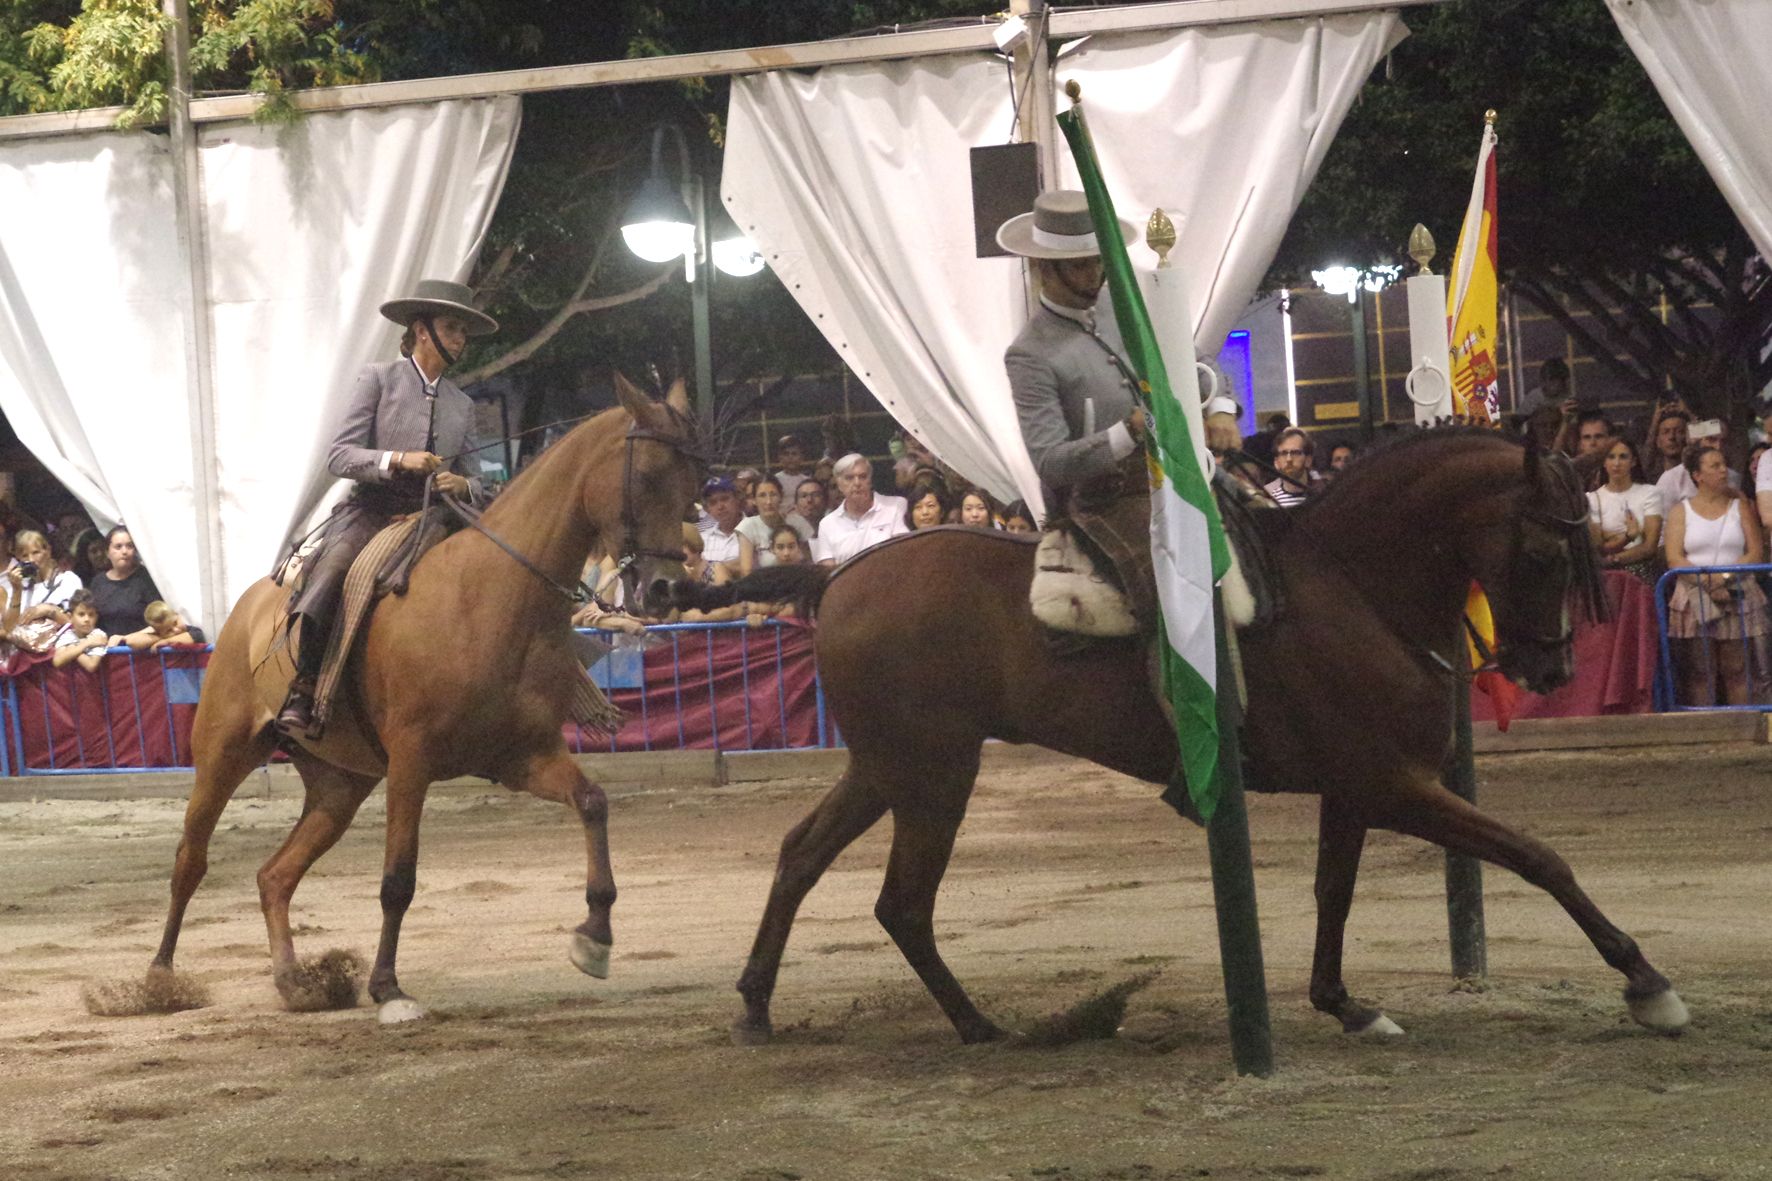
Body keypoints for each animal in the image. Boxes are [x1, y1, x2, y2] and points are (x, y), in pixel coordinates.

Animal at [147, 374, 698, 1014]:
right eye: (649, 476)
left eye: (694, 481)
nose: (667, 589)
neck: (489, 596)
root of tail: (250, 605)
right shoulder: (412, 764)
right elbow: (398, 880)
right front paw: (386, 986)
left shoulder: (522, 758)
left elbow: (592, 803)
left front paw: (595, 937)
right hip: (225, 753)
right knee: (191, 860)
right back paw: (159, 977)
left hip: (339, 786)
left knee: (274, 876)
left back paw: (295, 981)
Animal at [715, 430, 1686, 1042]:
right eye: (1546, 554)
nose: (1553, 670)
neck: (1353, 585)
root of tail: (839, 576)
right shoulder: (1399, 785)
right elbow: (1537, 856)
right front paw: (1646, 982)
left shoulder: (1359, 786)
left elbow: (1335, 891)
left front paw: (1345, 1003)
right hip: (932, 776)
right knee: (903, 902)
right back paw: (977, 1023)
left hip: (888, 768)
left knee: (803, 855)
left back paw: (759, 1004)